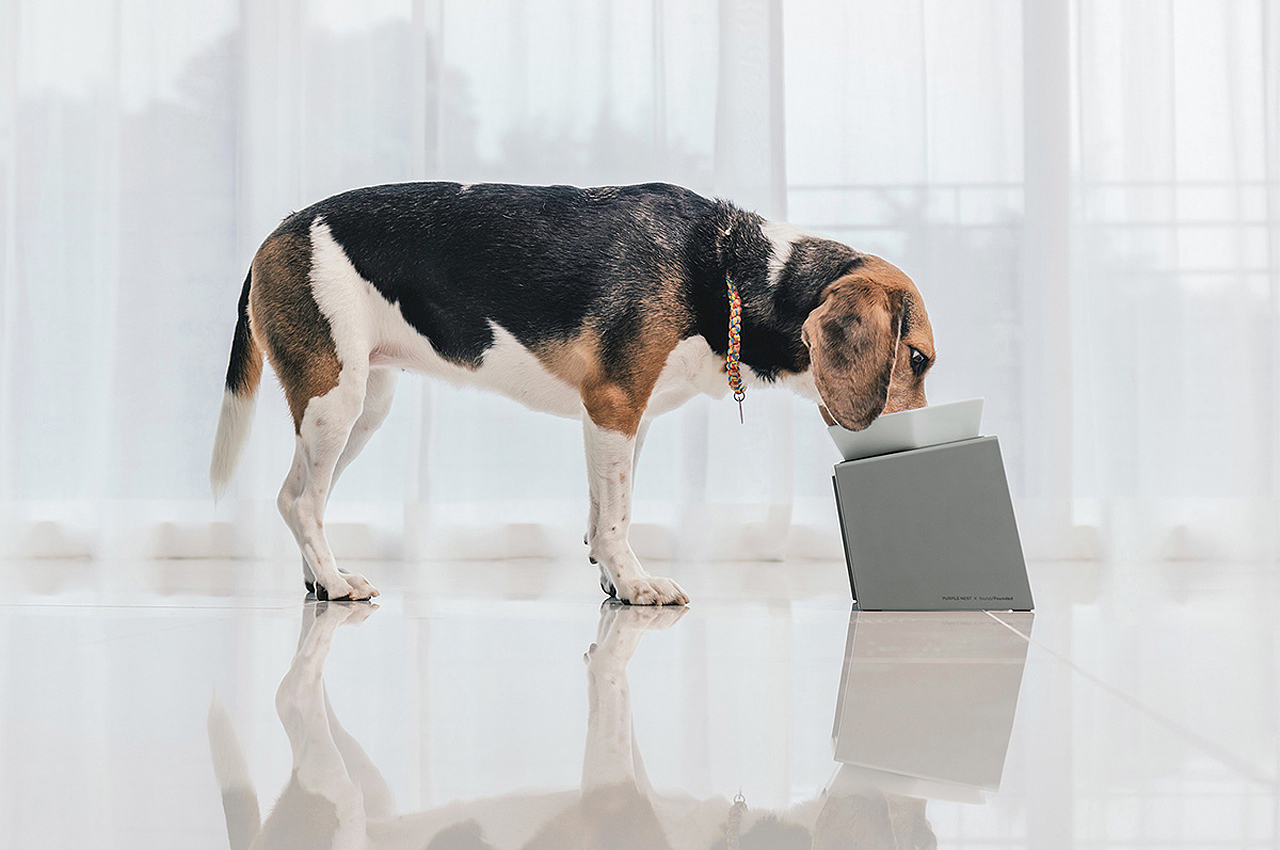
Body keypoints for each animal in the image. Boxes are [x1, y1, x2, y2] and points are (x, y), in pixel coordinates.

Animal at [207, 183, 931, 601]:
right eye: (919, 359)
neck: (726, 268)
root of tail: (276, 232)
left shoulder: (628, 422)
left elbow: (604, 511)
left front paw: (613, 581)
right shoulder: (613, 406)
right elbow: (616, 517)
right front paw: (635, 584)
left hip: (363, 406)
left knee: (295, 496)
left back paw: (316, 577)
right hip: (335, 400)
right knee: (301, 502)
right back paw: (333, 581)